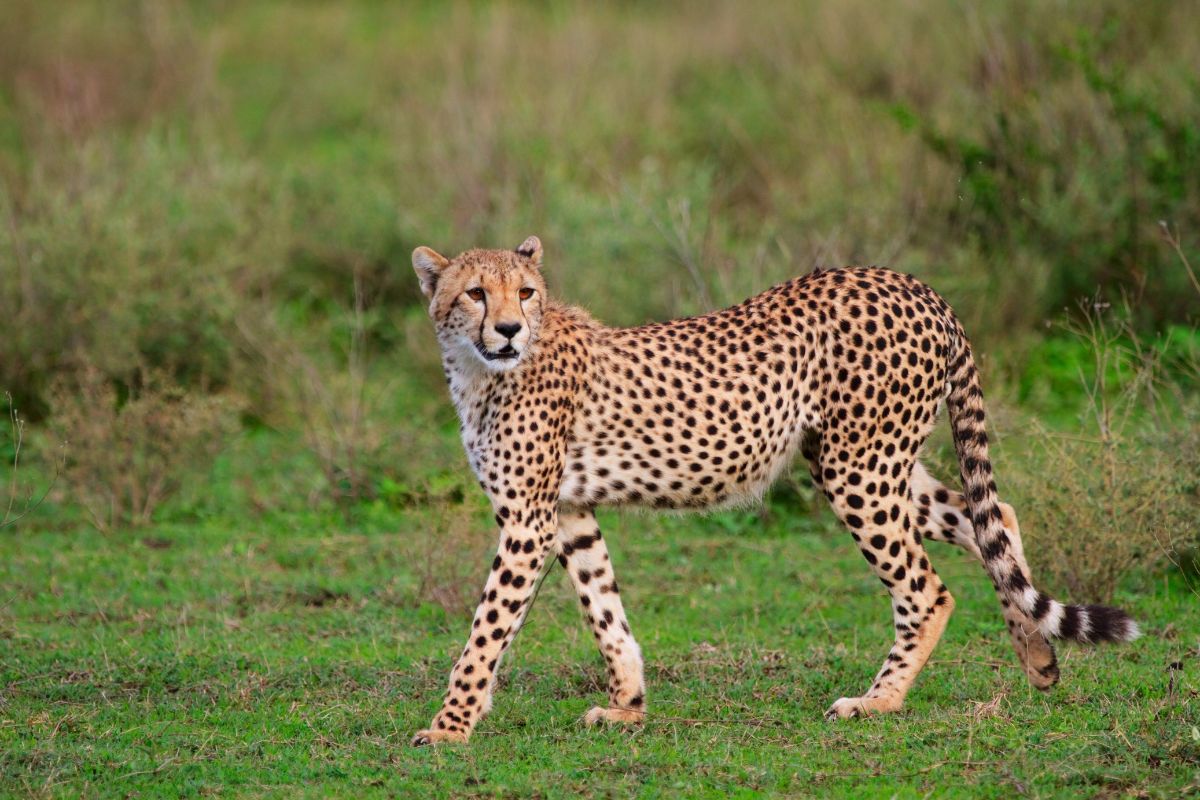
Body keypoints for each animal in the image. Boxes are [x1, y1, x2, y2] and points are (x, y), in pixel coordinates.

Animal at [408, 235, 1138, 746]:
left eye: (525, 292)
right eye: (475, 293)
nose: (508, 329)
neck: (480, 371)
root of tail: (915, 285)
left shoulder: (527, 522)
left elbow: (485, 631)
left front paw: (449, 727)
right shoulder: (567, 512)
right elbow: (603, 608)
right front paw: (628, 706)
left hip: (857, 468)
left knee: (928, 589)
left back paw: (878, 701)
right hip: (872, 462)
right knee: (994, 517)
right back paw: (1037, 657)